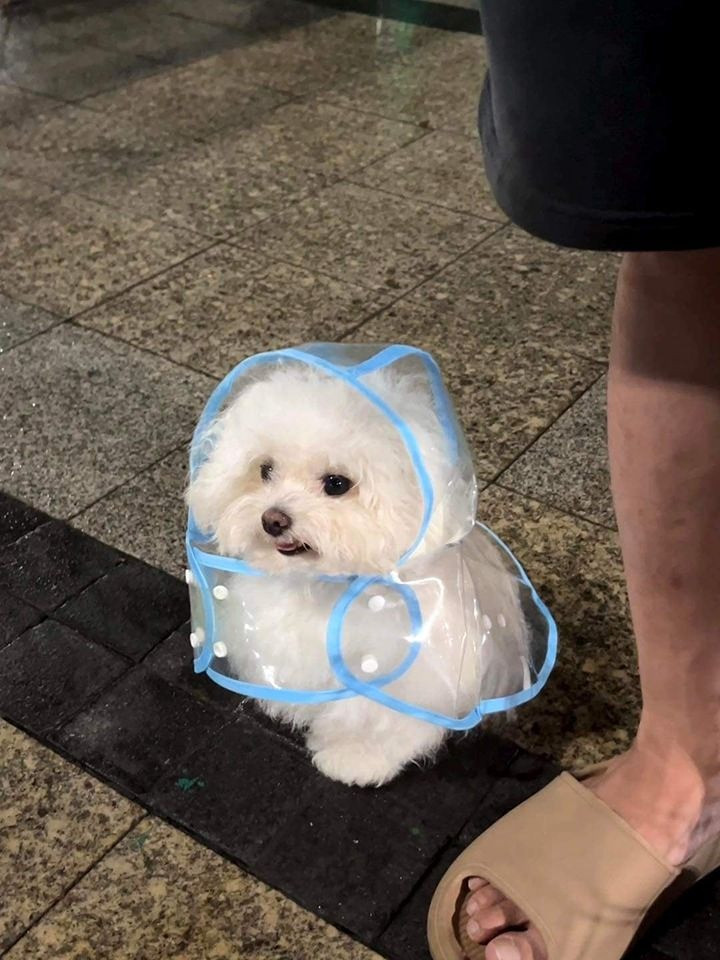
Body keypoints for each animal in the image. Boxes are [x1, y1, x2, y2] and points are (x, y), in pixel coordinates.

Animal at [187, 360, 528, 788]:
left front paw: (356, 759)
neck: (324, 586)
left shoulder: (402, 676)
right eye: (265, 470)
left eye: (337, 484)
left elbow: (378, 722)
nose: (273, 520)